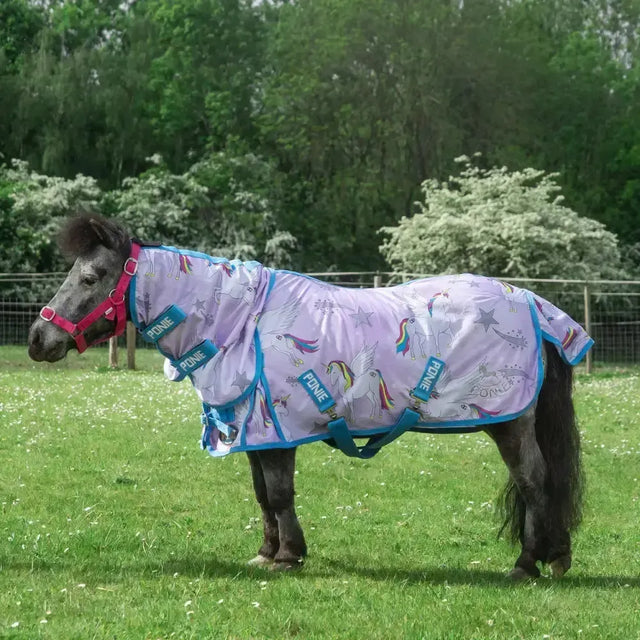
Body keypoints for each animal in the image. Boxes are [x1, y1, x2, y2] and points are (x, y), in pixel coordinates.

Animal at [28, 214, 591, 581]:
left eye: (90, 277)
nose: (38, 338)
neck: (238, 322)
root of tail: (533, 304)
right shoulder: (255, 431)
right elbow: (262, 495)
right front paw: (267, 551)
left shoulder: (277, 431)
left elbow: (279, 494)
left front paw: (288, 556)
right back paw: (553, 557)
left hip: (510, 424)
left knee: (535, 481)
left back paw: (526, 564)